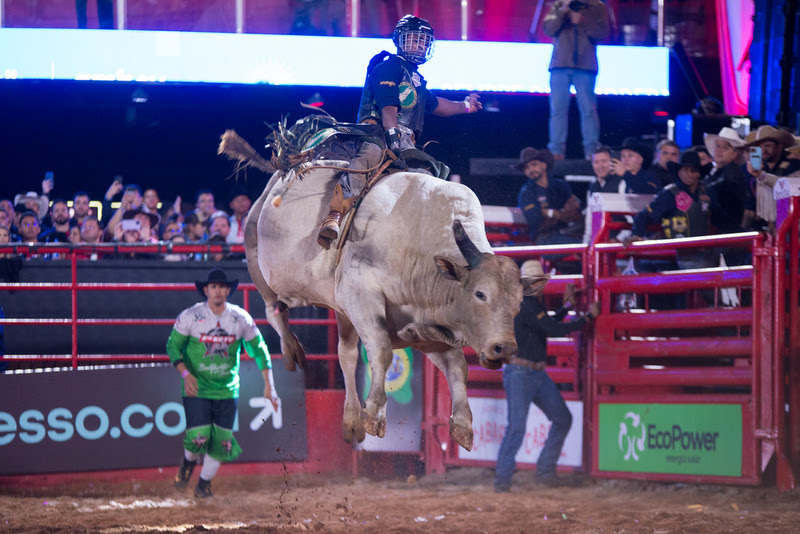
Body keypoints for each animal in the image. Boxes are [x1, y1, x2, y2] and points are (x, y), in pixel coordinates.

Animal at [244, 163, 548, 452]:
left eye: (519, 303)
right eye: (480, 293)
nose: (504, 348)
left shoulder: (429, 328)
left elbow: (458, 368)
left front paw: (462, 424)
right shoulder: (359, 294)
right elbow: (382, 352)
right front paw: (375, 413)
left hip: (340, 310)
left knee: (346, 354)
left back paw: (351, 420)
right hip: (256, 255)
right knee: (273, 310)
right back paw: (291, 350)